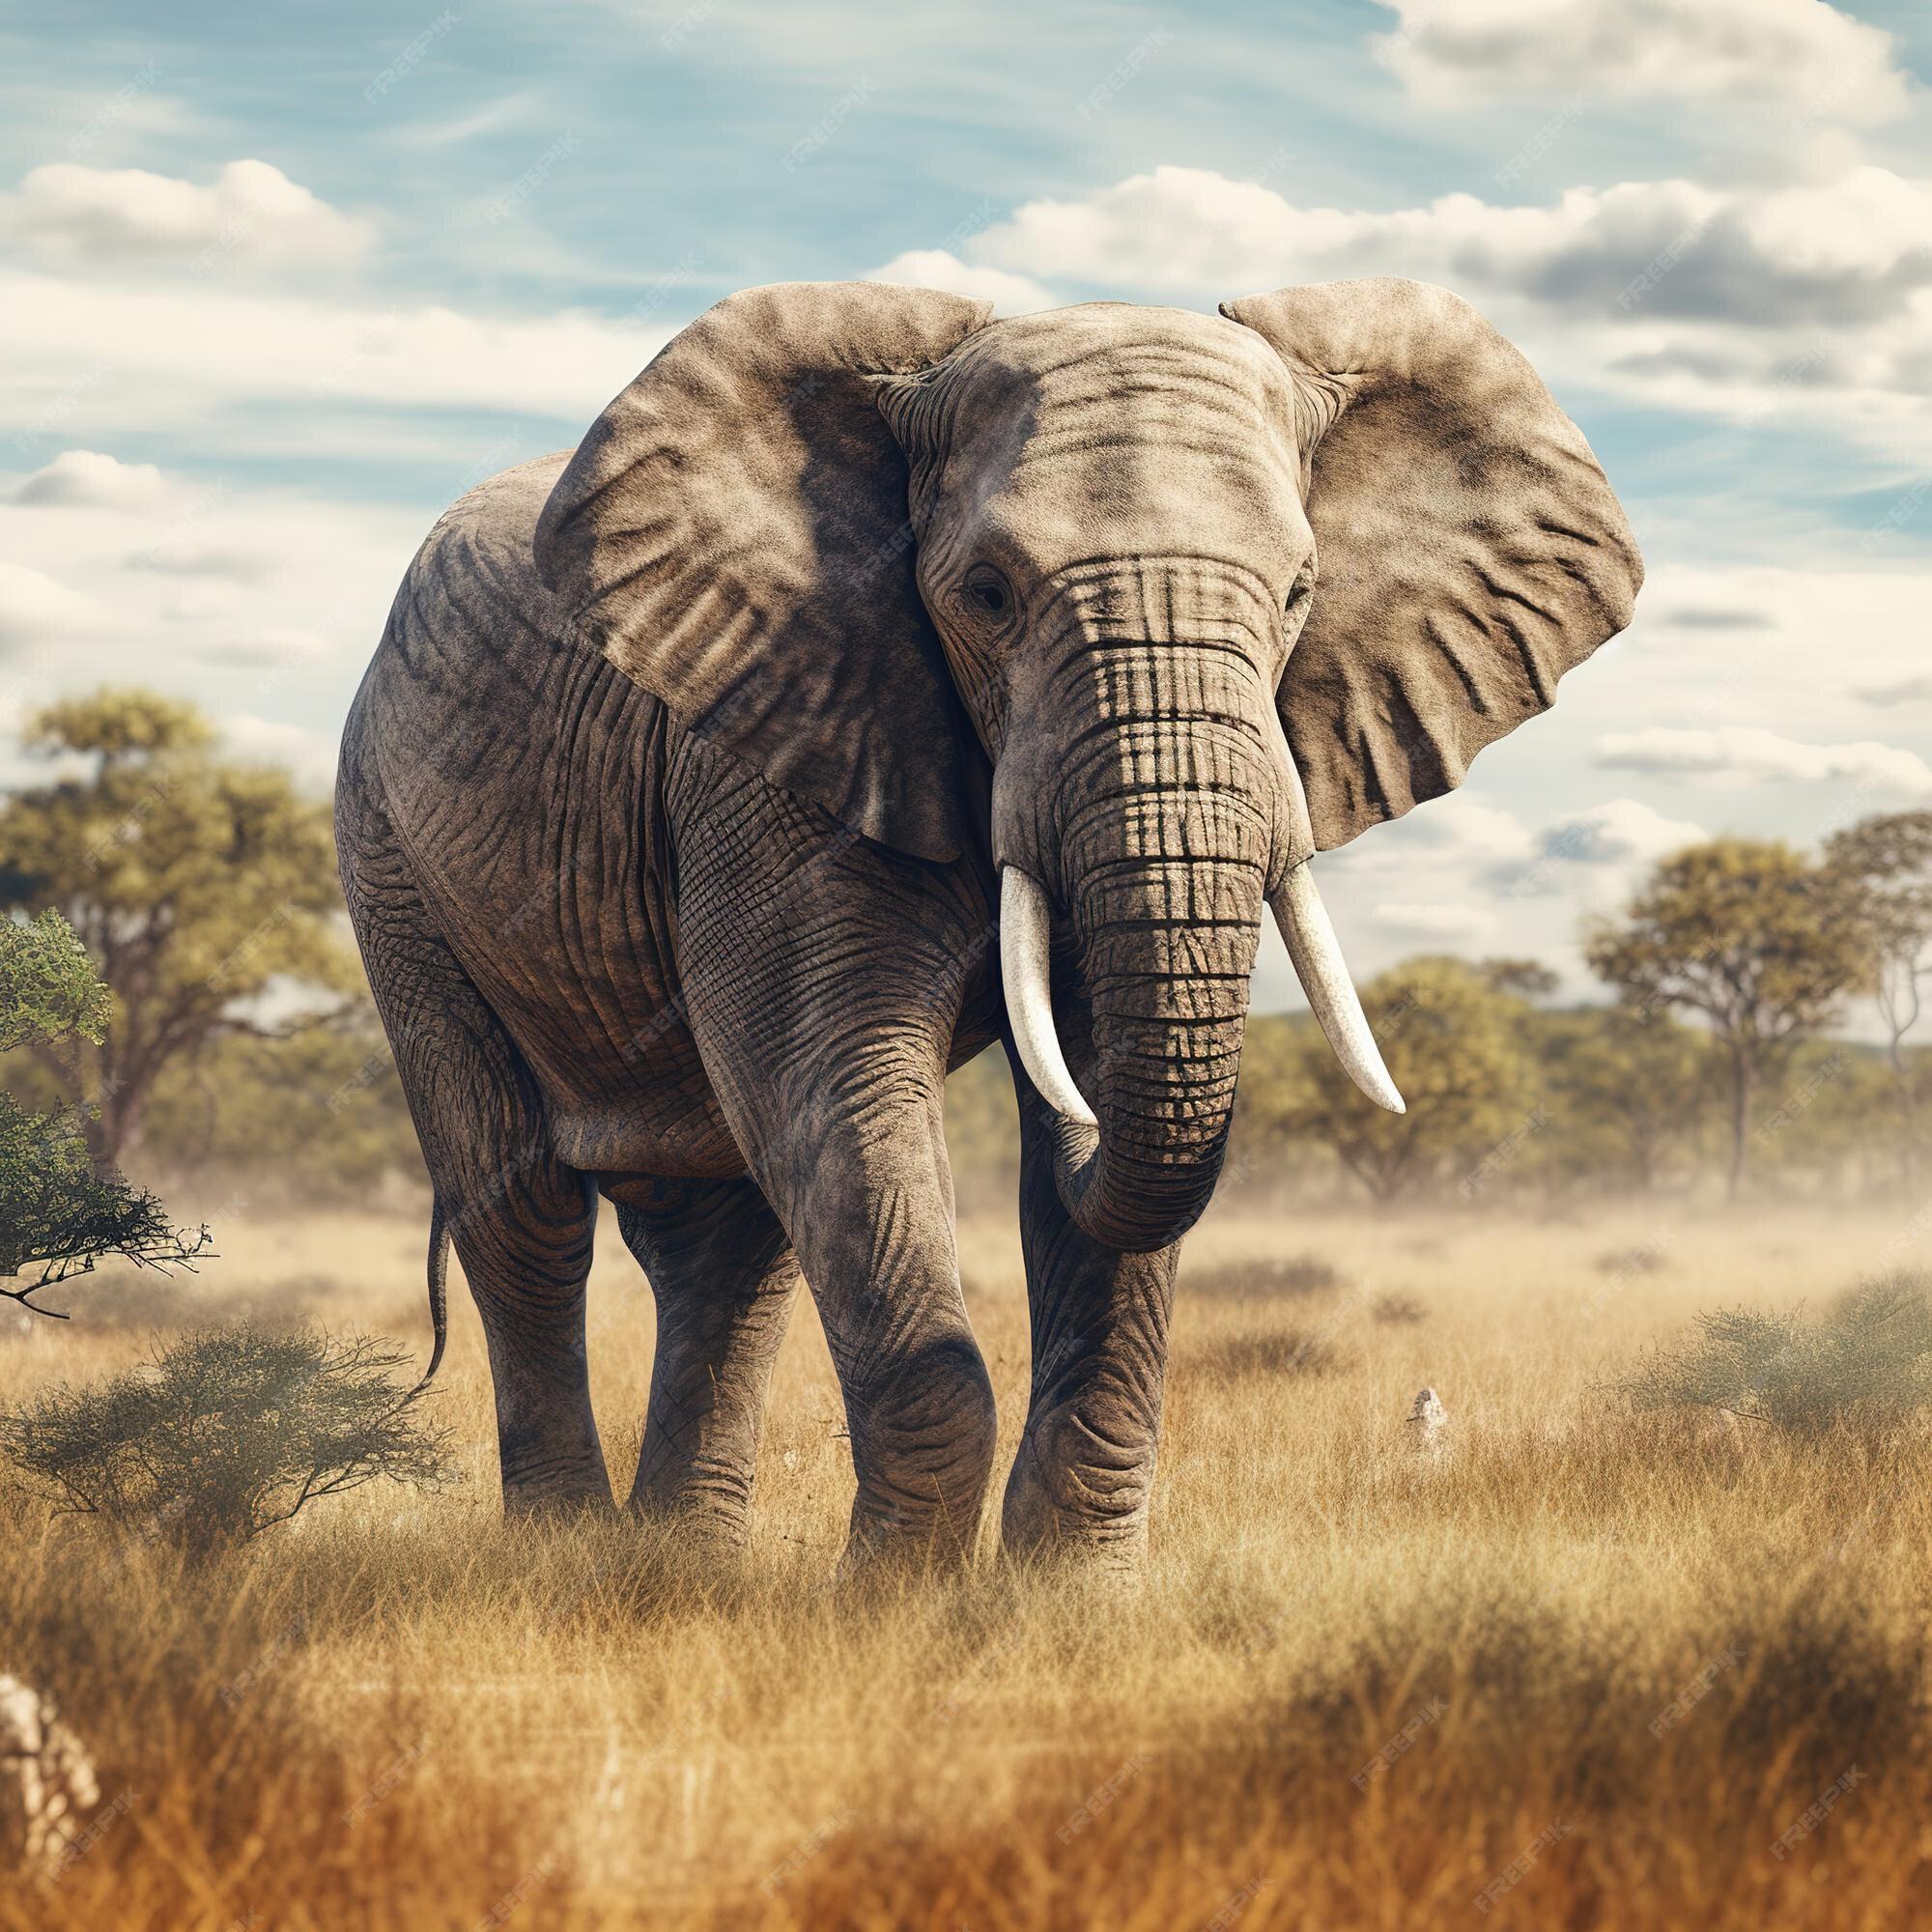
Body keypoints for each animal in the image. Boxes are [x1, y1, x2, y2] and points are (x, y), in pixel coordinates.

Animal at [336, 276, 1639, 1572]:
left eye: (1297, 594)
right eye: (985, 596)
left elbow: (1082, 1085)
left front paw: (1068, 1591)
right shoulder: (779, 725)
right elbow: (834, 1076)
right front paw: (899, 1597)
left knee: (728, 1238)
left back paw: (681, 1565)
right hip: (388, 847)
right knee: (524, 1208)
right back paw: (566, 1555)